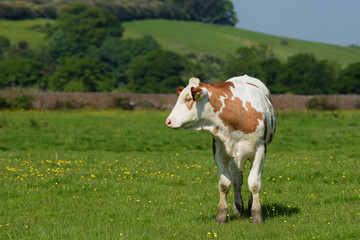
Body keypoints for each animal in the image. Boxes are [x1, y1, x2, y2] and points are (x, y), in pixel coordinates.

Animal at [166, 75, 276, 225]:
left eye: (188, 99)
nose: (168, 121)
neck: (236, 114)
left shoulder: (260, 150)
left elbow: (254, 184)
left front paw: (257, 215)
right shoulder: (219, 151)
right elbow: (224, 184)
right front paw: (221, 215)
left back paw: (250, 204)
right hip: (234, 159)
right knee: (237, 181)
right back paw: (237, 208)